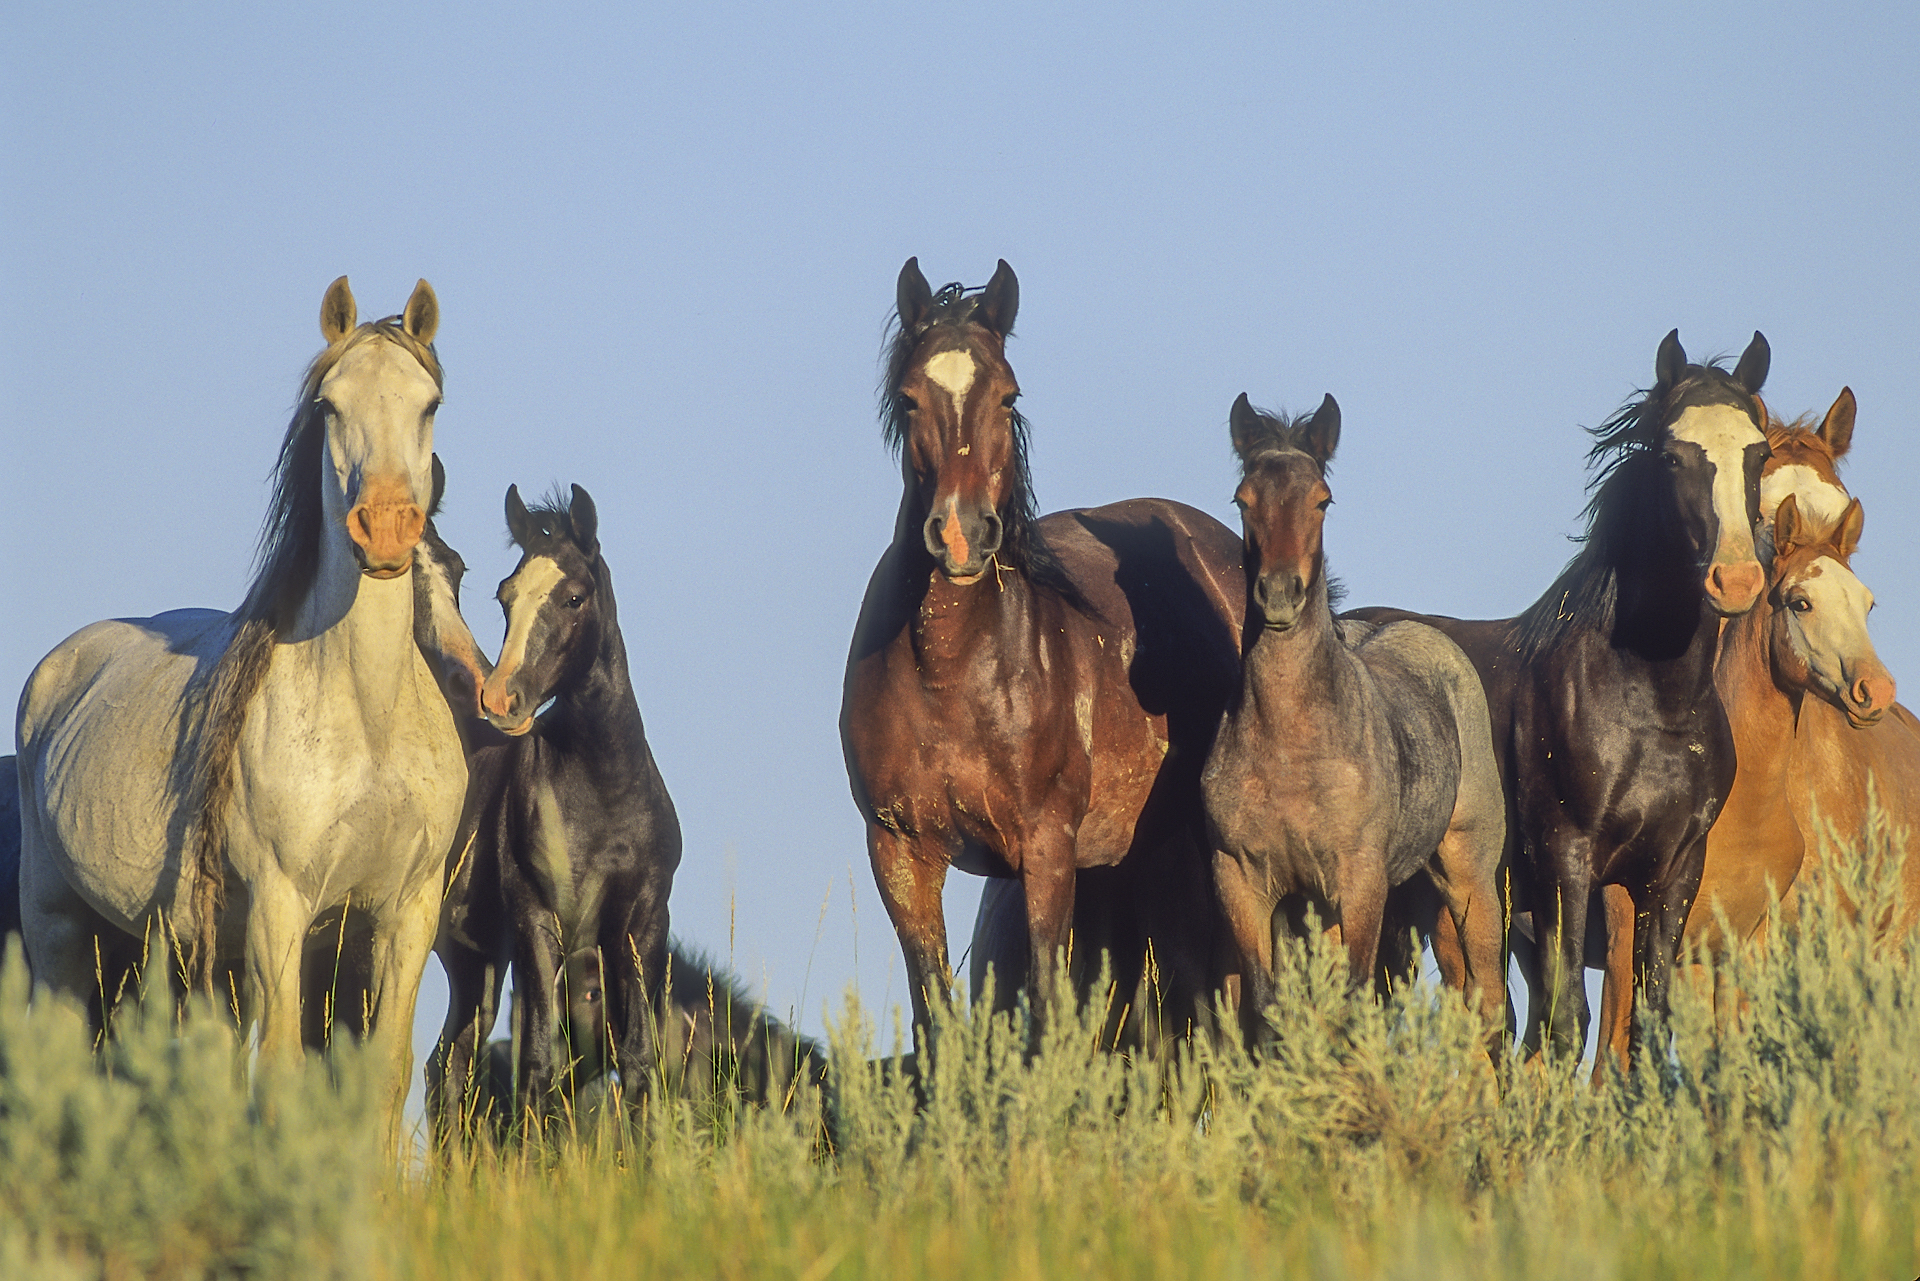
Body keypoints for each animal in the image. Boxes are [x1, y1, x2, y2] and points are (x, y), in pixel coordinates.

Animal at [432, 485, 687, 1136]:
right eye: (505, 595)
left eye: (574, 596)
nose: (500, 699)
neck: (602, 793)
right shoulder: (537, 921)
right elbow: (539, 1063)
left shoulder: (640, 925)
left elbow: (637, 1060)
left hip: (475, 961)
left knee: (447, 1066)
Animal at [840, 261, 1244, 1044]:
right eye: (909, 398)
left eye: (1008, 394)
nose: (961, 534)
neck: (951, 674)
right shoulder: (900, 851)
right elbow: (936, 1017)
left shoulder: (1047, 848)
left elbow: (1051, 1007)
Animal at [1198, 393, 1512, 1044]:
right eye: (1243, 499)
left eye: (1323, 499)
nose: (1279, 595)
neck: (1290, 745)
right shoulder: (1243, 882)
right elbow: (1270, 1010)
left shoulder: (1360, 883)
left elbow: (1351, 1004)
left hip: (1467, 870)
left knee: (1489, 1003)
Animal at [1367, 330, 1766, 1060]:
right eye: (1672, 457)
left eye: (1760, 453)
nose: (1736, 578)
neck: (1649, 706)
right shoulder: (1566, 865)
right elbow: (1567, 1020)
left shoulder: (1672, 873)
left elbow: (1645, 1021)